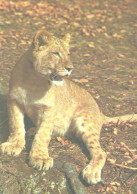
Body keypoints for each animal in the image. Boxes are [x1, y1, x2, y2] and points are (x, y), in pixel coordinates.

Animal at [0, 29, 136, 183]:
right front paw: (13, 145)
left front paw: (40, 157)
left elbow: (43, 134)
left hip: (84, 121)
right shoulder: (14, 101)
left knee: (101, 152)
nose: (70, 68)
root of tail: (99, 112)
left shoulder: (49, 109)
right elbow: (16, 126)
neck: (33, 80)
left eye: (68, 54)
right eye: (56, 53)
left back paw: (91, 173)